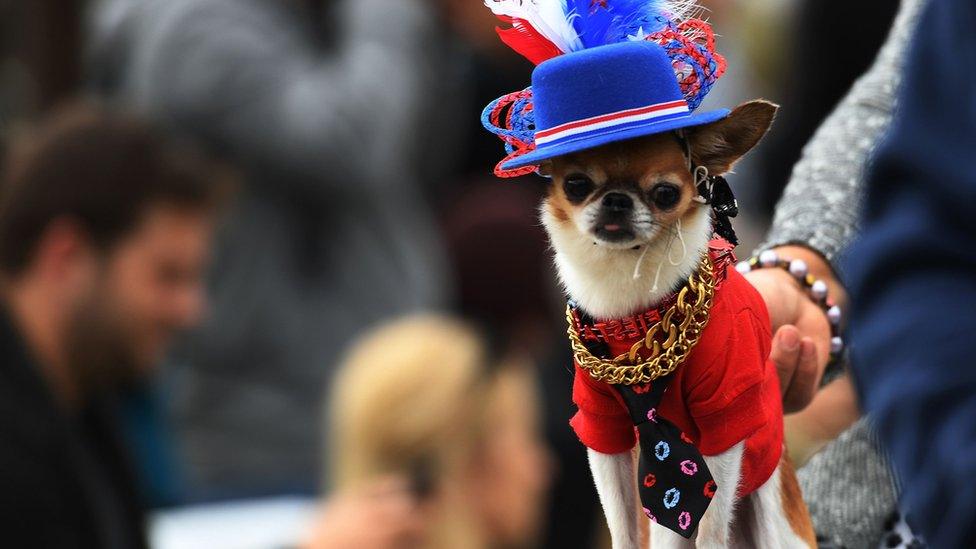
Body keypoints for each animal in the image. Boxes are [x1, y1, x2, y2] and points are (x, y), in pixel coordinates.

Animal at [540, 100, 816, 544]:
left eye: (666, 193)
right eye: (576, 184)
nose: (616, 200)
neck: (636, 311)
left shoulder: (723, 424)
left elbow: (711, 526)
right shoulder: (601, 428)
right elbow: (620, 520)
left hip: (774, 513)